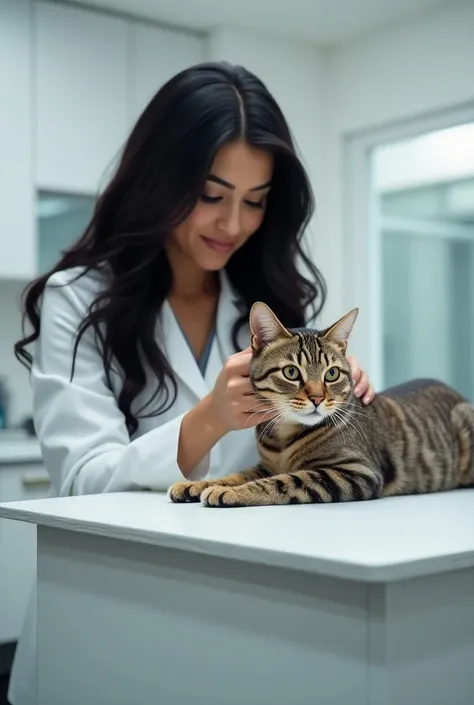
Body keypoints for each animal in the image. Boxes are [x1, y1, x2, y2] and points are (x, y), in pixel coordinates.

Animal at [168, 302, 474, 506]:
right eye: (292, 373)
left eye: (332, 374)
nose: (316, 398)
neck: (284, 434)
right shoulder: (265, 465)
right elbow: (237, 474)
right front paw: (196, 483)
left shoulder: (355, 471)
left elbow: (284, 482)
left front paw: (230, 492)